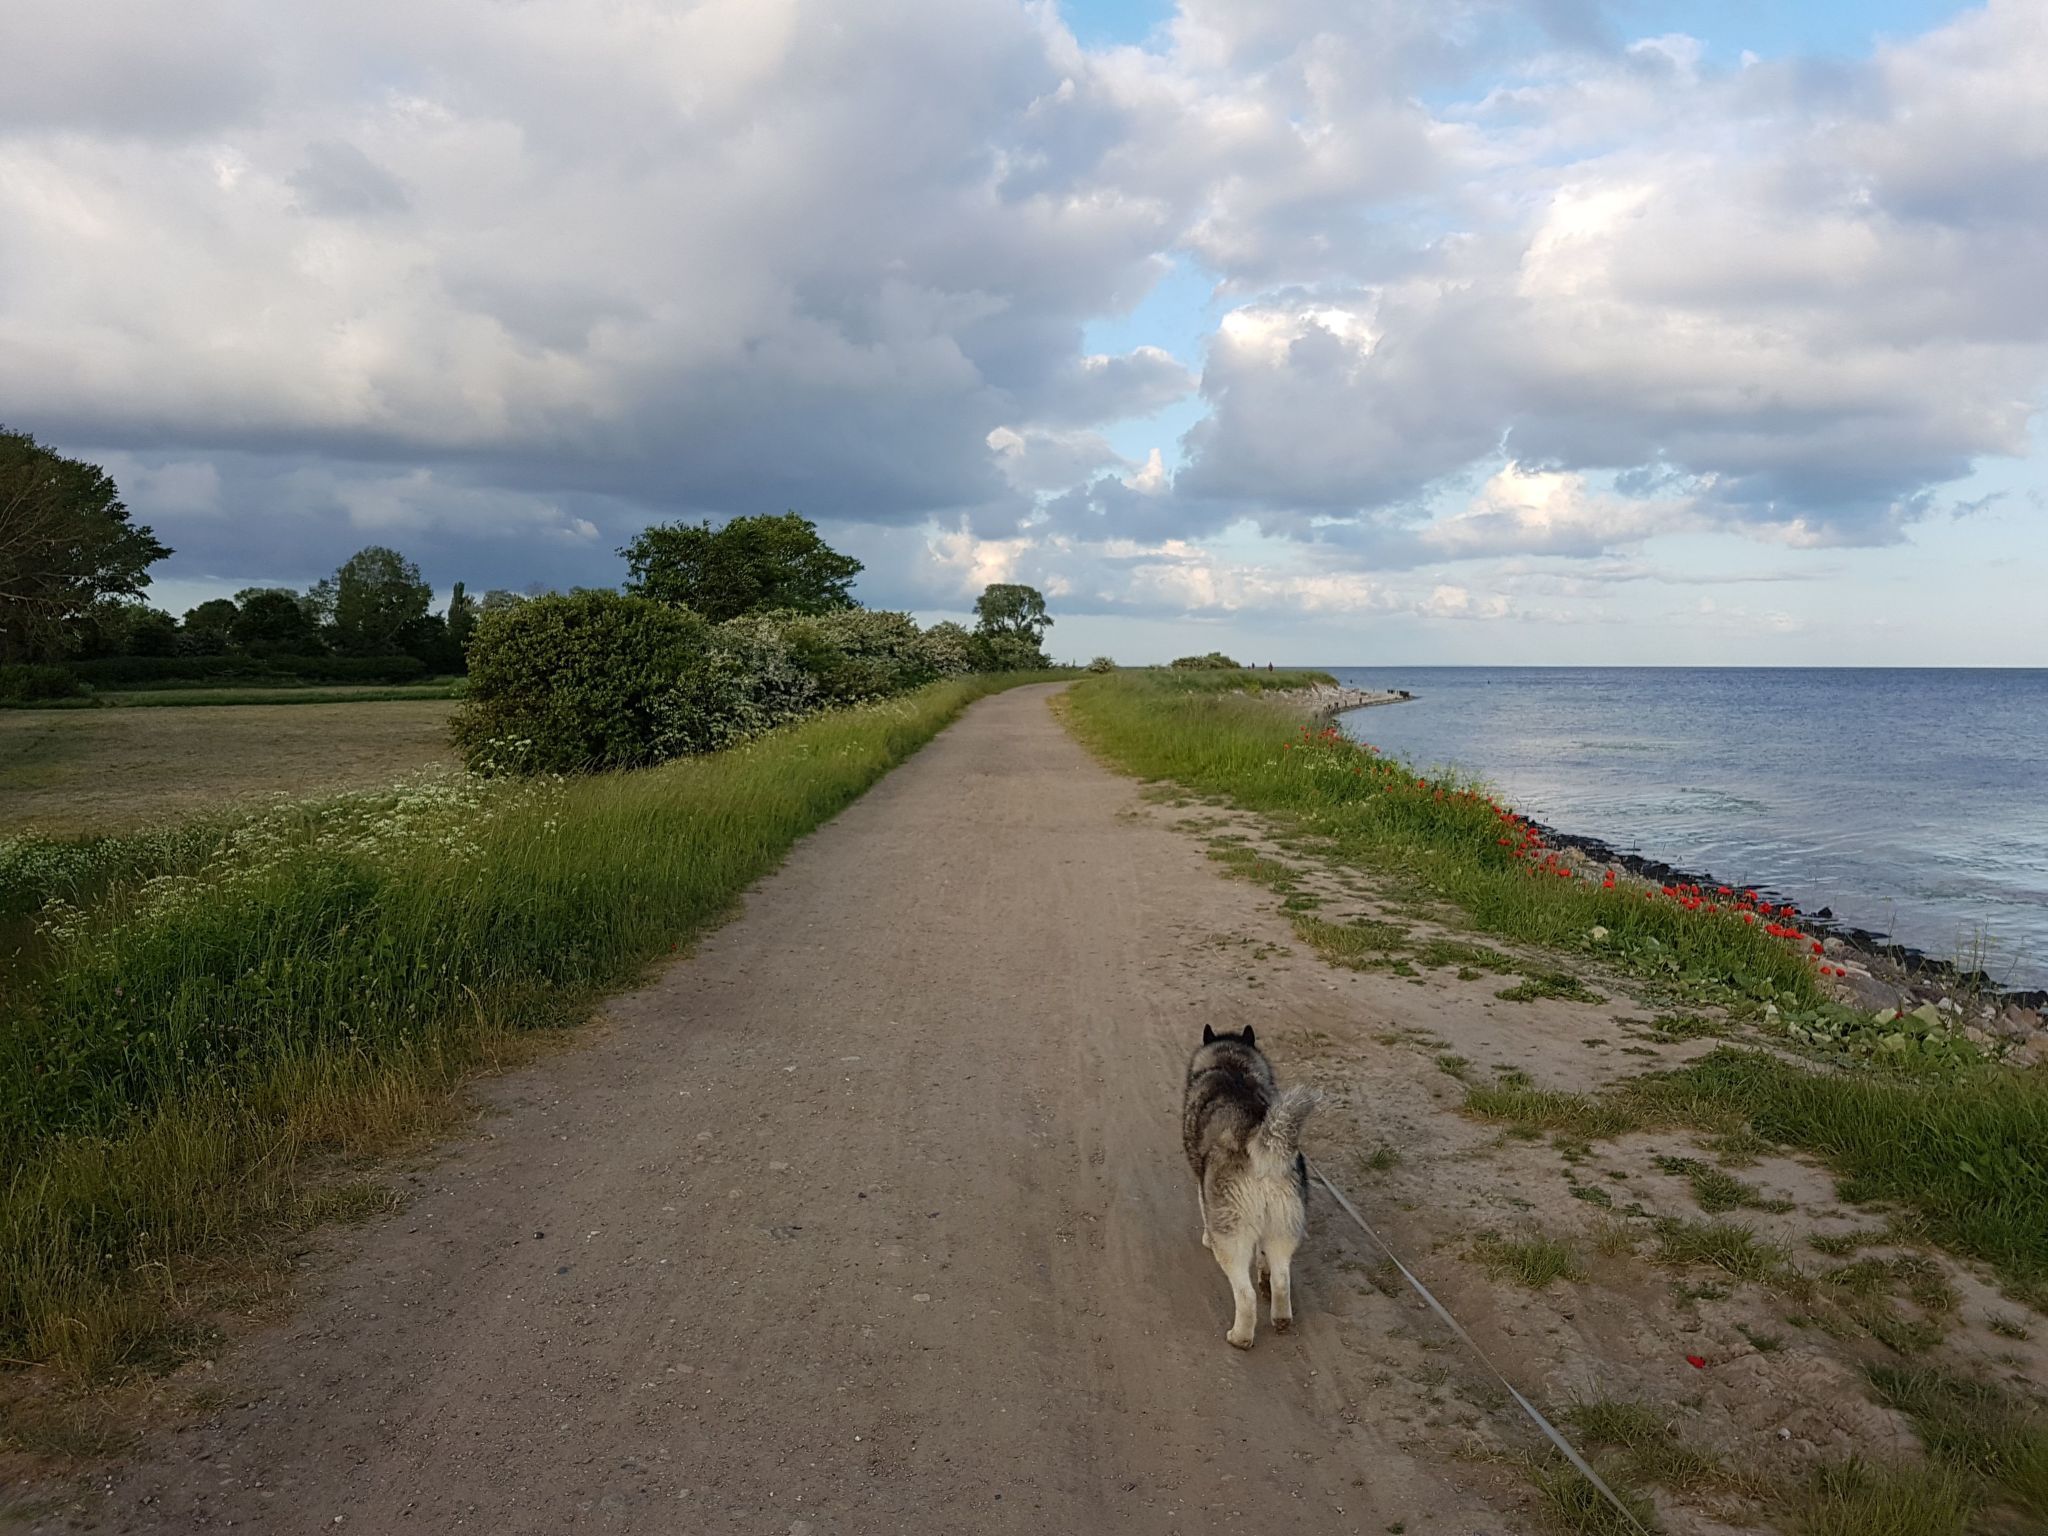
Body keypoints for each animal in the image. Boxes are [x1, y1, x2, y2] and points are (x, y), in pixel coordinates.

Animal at [1182, 1024, 1318, 1349]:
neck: (1232, 1066)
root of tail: (1263, 1148)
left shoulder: (1203, 1185)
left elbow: (1202, 1207)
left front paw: (1205, 1237)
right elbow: (1264, 1258)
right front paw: (1263, 1269)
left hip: (1232, 1237)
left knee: (1245, 1296)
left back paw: (1240, 1337)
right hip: (1284, 1226)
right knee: (1281, 1278)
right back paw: (1280, 1316)